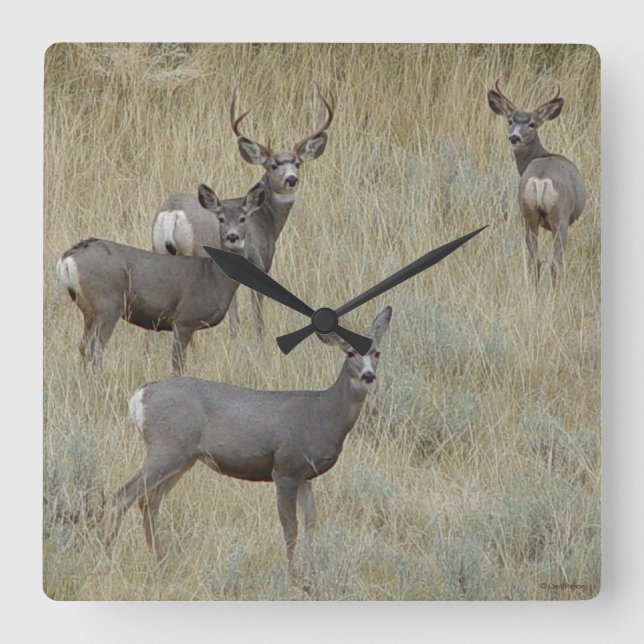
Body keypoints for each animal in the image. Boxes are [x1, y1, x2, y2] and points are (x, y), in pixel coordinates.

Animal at [57, 182, 264, 376]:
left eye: (243, 218)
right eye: (220, 219)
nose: (232, 237)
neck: (213, 277)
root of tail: (68, 259)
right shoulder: (184, 318)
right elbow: (177, 365)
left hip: (88, 309)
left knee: (83, 347)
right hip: (107, 304)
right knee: (96, 350)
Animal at [102, 306, 392, 586]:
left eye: (377, 352)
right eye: (351, 352)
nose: (368, 375)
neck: (324, 415)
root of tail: (139, 397)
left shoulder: (305, 476)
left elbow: (311, 524)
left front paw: (311, 573)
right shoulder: (285, 468)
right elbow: (291, 528)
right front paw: (293, 578)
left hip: (183, 458)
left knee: (149, 501)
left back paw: (161, 564)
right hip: (167, 446)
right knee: (123, 495)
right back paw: (108, 560)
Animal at [150, 85, 334, 338]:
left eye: (297, 163)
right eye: (273, 165)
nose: (291, 179)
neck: (265, 221)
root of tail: (171, 213)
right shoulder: (259, 260)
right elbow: (255, 313)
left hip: (157, 249)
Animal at [487, 80, 586, 286]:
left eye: (532, 124)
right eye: (510, 121)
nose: (514, 137)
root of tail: (540, 179)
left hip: (527, 214)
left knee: (534, 261)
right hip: (560, 216)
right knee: (555, 263)